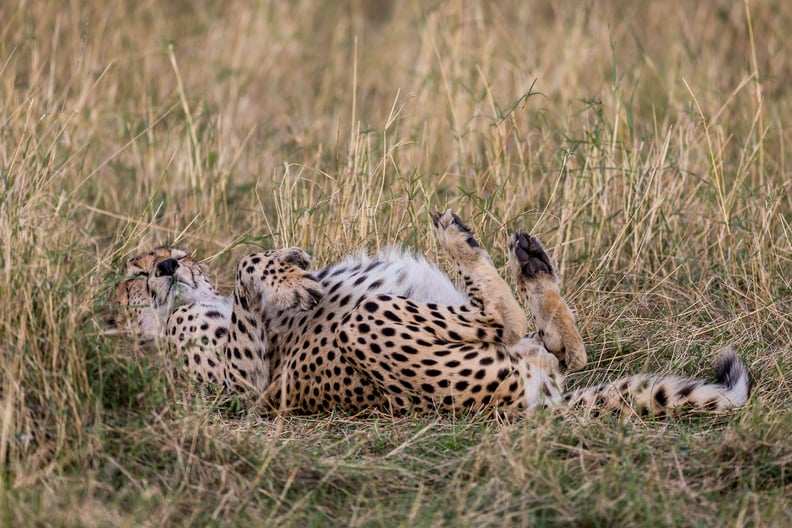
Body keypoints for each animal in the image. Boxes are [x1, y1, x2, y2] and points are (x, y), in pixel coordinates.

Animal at [108, 210, 752, 416]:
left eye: (168, 250)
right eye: (134, 276)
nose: (167, 267)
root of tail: (536, 402)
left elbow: (249, 261)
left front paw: (286, 266)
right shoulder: (251, 381)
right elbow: (246, 271)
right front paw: (286, 281)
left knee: (559, 346)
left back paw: (527, 261)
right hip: (369, 323)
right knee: (509, 324)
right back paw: (466, 245)